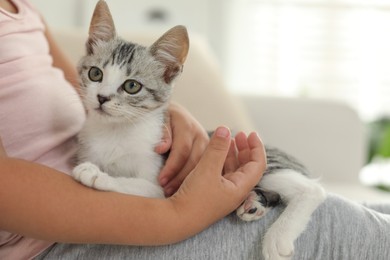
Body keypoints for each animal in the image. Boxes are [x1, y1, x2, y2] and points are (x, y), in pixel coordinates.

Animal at [72, 1, 326, 258]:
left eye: (131, 86)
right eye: (95, 73)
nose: (101, 98)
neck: (115, 131)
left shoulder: (159, 184)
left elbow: (135, 185)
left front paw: (96, 174)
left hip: (261, 161)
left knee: (313, 189)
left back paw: (278, 237)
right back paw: (253, 203)